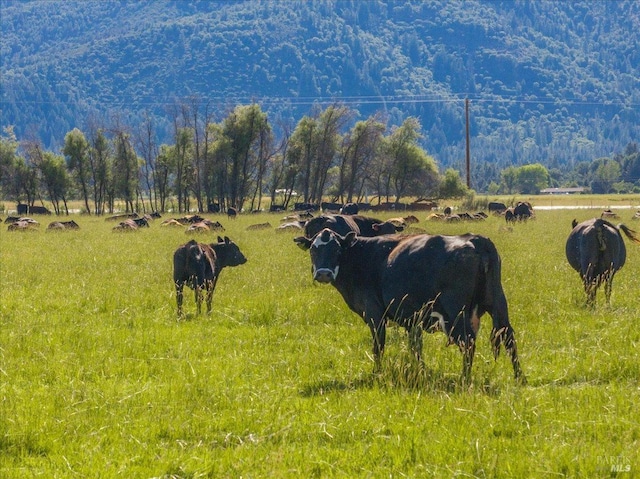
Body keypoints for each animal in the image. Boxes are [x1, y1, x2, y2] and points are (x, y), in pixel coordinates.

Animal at [296, 229, 524, 382]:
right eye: (313, 250)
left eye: (336, 249)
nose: (323, 273)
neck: (362, 256)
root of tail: (475, 239)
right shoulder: (412, 320)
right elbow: (416, 347)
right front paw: (421, 371)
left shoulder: (374, 314)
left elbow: (378, 345)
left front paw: (377, 373)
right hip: (498, 304)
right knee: (508, 338)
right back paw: (519, 377)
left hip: (456, 312)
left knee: (467, 342)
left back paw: (464, 378)